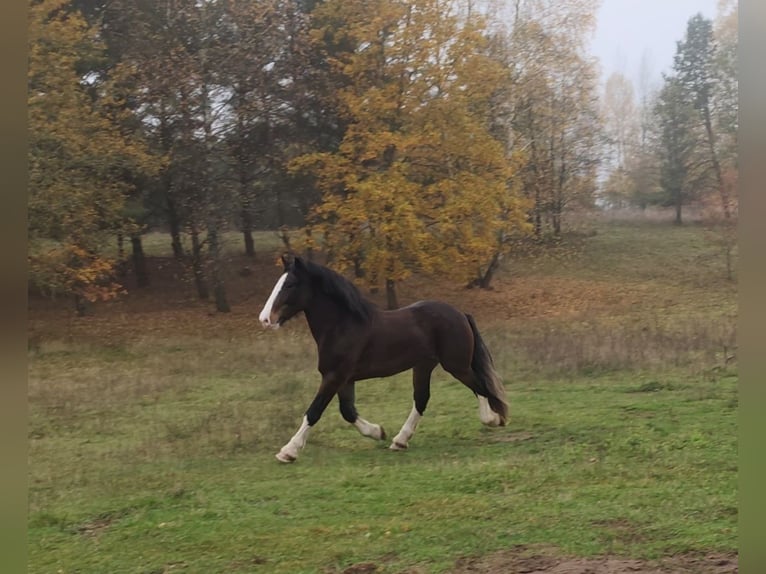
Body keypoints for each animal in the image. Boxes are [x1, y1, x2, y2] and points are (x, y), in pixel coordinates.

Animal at [260, 256, 510, 464]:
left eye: (290, 285)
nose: (265, 319)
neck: (342, 326)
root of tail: (461, 314)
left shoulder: (334, 376)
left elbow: (314, 411)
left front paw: (288, 451)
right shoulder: (344, 379)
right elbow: (347, 411)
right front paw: (378, 432)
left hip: (456, 365)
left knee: (481, 387)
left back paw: (492, 419)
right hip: (424, 366)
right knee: (422, 399)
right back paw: (399, 441)